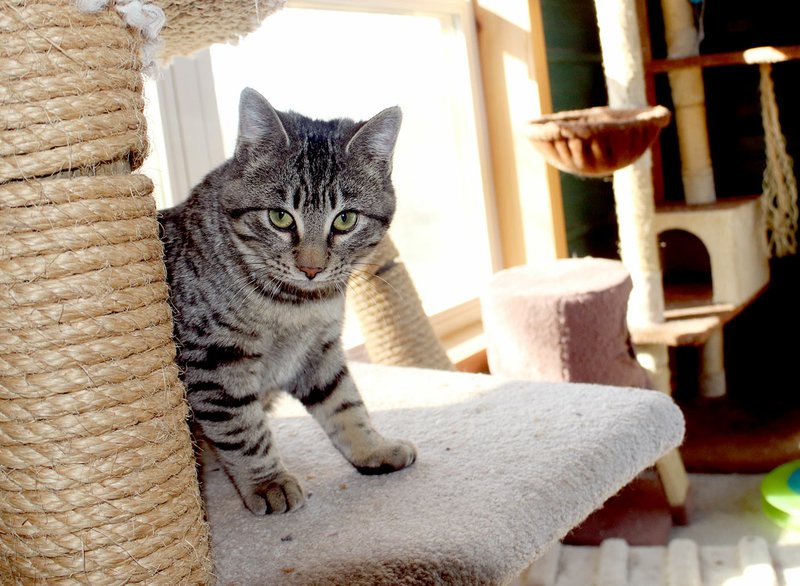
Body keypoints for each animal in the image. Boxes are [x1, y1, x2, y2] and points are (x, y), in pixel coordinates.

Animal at [159, 88, 416, 516]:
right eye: (280, 217)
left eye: (345, 220)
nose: (311, 268)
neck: (297, 306)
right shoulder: (213, 362)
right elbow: (241, 429)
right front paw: (268, 482)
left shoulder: (320, 352)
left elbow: (346, 405)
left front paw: (373, 449)